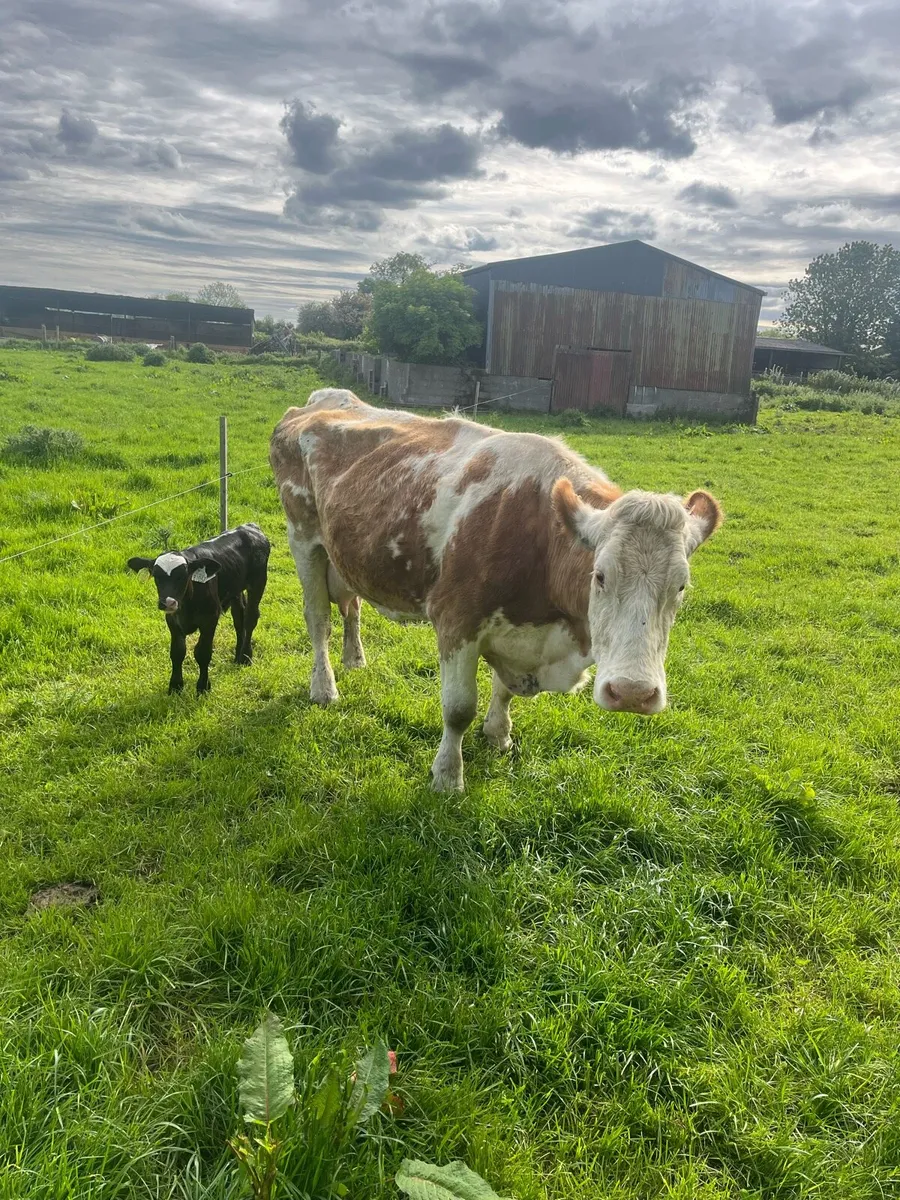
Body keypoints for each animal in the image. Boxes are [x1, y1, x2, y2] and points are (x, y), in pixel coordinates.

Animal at [127, 523, 270, 694]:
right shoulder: (172, 620)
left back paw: (245, 657)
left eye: (183, 575)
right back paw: (238, 655)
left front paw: (203, 686)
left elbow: (202, 653)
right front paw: (175, 685)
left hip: (258, 582)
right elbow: (177, 652)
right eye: (156, 576)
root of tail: (250, 527)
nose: (168, 603)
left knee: (250, 618)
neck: (187, 605)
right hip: (236, 588)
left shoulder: (210, 619)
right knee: (239, 617)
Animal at [269, 389, 722, 791]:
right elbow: (457, 709)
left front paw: (499, 733)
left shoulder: (517, 635)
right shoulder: (456, 620)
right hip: (303, 538)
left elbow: (503, 691)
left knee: (352, 607)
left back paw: (356, 660)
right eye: (600, 576)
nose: (631, 693)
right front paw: (447, 776)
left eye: (681, 586)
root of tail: (320, 400)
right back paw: (325, 687)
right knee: (319, 621)